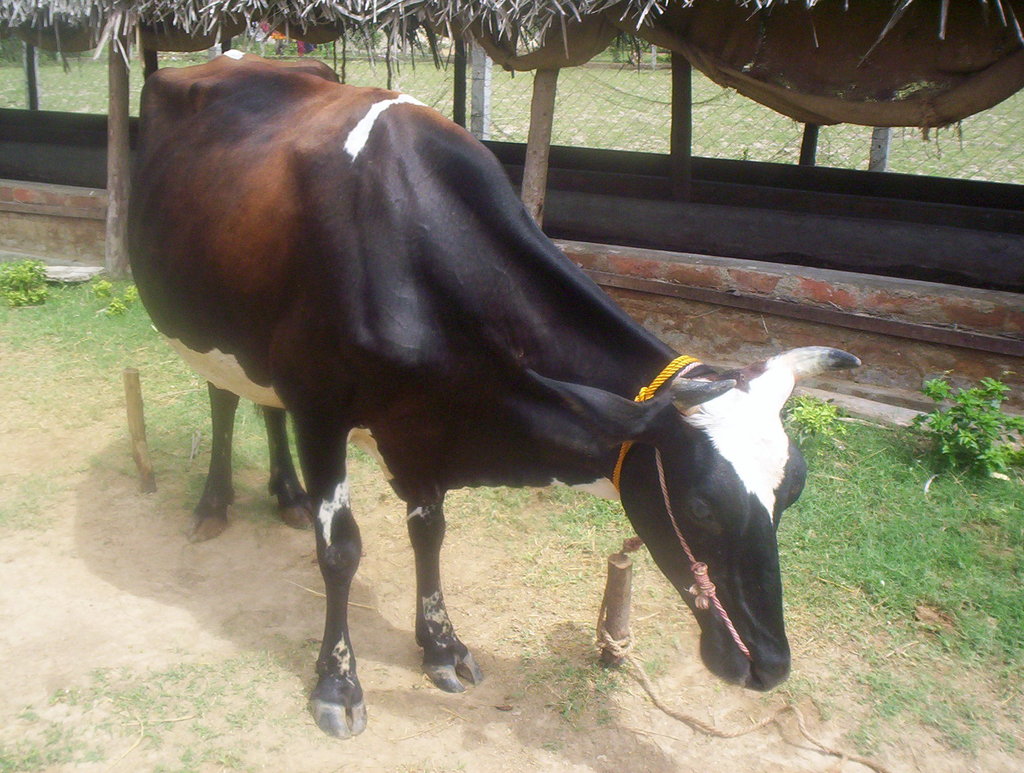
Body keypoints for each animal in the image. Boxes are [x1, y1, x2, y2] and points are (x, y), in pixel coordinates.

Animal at [128, 52, 859, 739]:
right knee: (224, 399)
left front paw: (440, 646)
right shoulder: (322, 410)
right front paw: (337, 684)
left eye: (792, 491)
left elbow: (429, 533)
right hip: (206, 322)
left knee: (260, 400)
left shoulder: (420, 424)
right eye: (702, 507)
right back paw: (214, 504)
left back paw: (285, 493)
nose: (771, 663)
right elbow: (340, 552)